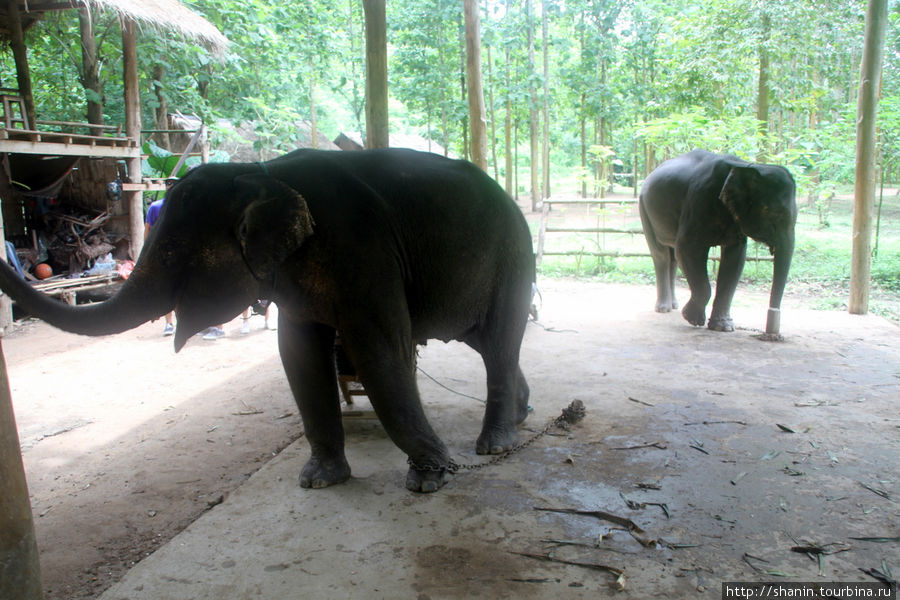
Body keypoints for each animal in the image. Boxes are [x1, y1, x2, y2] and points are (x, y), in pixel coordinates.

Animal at [0, 149, 536, 492]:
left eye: (173, 252)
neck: (261, 173)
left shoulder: (363, 252)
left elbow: (381, 352)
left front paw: (429, 479)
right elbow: (297, 354)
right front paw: (319, 481)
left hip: (513, 256)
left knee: (499, 342)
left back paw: (495, 445)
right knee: (490, 344)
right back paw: (521, 416)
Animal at [640, 149, 796, 338]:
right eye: (769, 211)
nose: (772, 330)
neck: (746, 166)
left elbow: (735, 258)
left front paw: (723, 327)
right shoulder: (699, 199)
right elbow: (687, 249)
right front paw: (692, 318)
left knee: (673, 258)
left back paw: (674, 306)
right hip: (644, 209)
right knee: (661, 255)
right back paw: (663, 309)